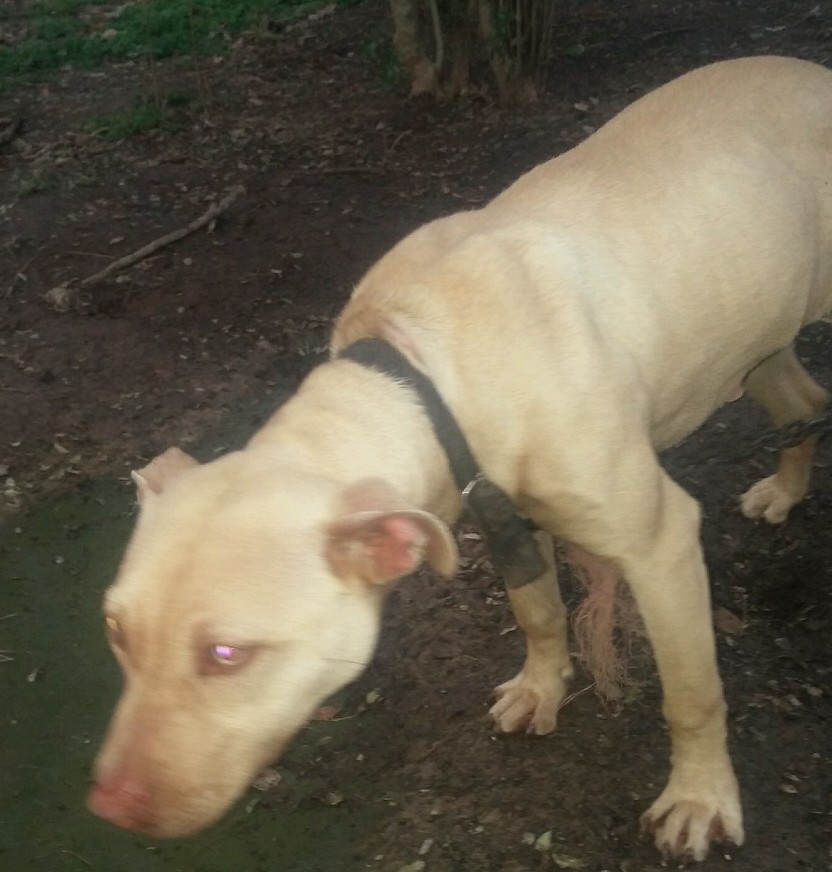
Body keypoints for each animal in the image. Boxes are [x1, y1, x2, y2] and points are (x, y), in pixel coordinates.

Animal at [88, 56, 832, 861]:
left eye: (227, 655)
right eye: (116, 632)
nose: (109, 806)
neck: (419, 370)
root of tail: (811, 70)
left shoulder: (658, 545)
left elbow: (691, 693)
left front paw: (698, 798)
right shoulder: (499, 516)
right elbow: (538, 611)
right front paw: (542, 688)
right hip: (757, 329)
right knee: (802, 400)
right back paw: (785, 490)